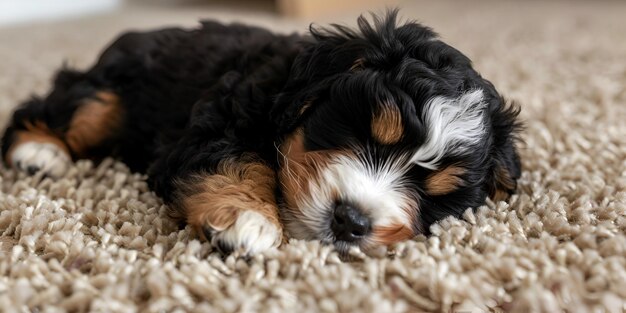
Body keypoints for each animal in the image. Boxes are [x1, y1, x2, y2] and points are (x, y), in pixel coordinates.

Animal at [1, 11, 520, 256]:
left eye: (435, 195)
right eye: (363, 131)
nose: (351, 222)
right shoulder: (216, 122)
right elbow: (236, 162)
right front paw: (248, 221)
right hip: (107, 90)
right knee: (57, 107)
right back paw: (40, 152)